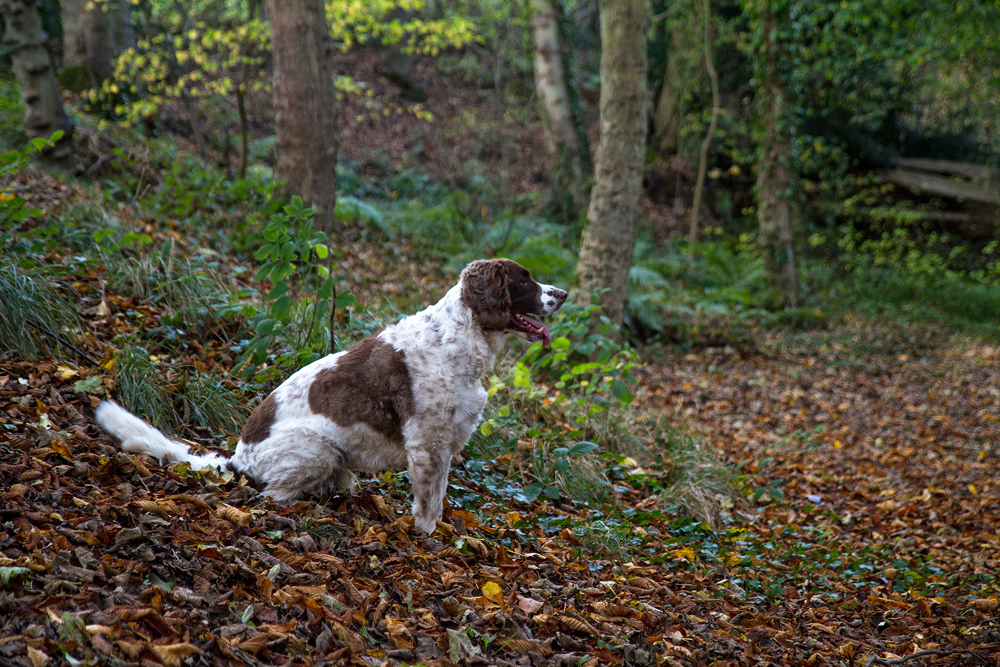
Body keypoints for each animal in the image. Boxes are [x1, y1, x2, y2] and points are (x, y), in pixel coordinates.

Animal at [99, 260, 572, 532]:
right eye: (525, 280)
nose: (564, 294)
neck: (459, 334)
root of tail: (237, 458)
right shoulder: (428, 444)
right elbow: (427, 507)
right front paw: (427, 540)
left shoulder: (443, 445)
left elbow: (437, 500)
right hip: (318, 449)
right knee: (271, 495)